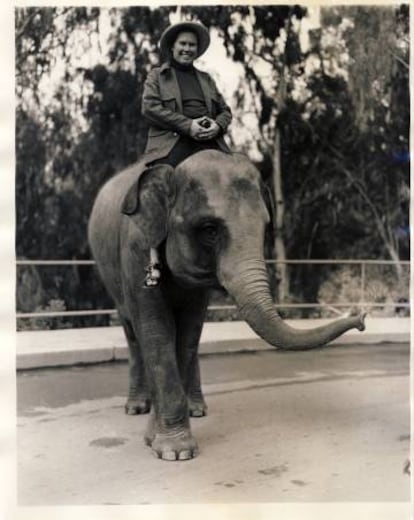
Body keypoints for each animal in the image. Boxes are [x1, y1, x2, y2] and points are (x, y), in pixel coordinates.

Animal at [88, 148, 366, 462]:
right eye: (209, 230)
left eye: (266, 228)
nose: (361, 318)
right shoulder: (135, 250)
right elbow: (156, 331)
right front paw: (174, 452)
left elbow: (186, 334)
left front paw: (157, 439)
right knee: (132, 332)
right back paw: (135, 408)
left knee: (190, 340)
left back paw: (197, 410)